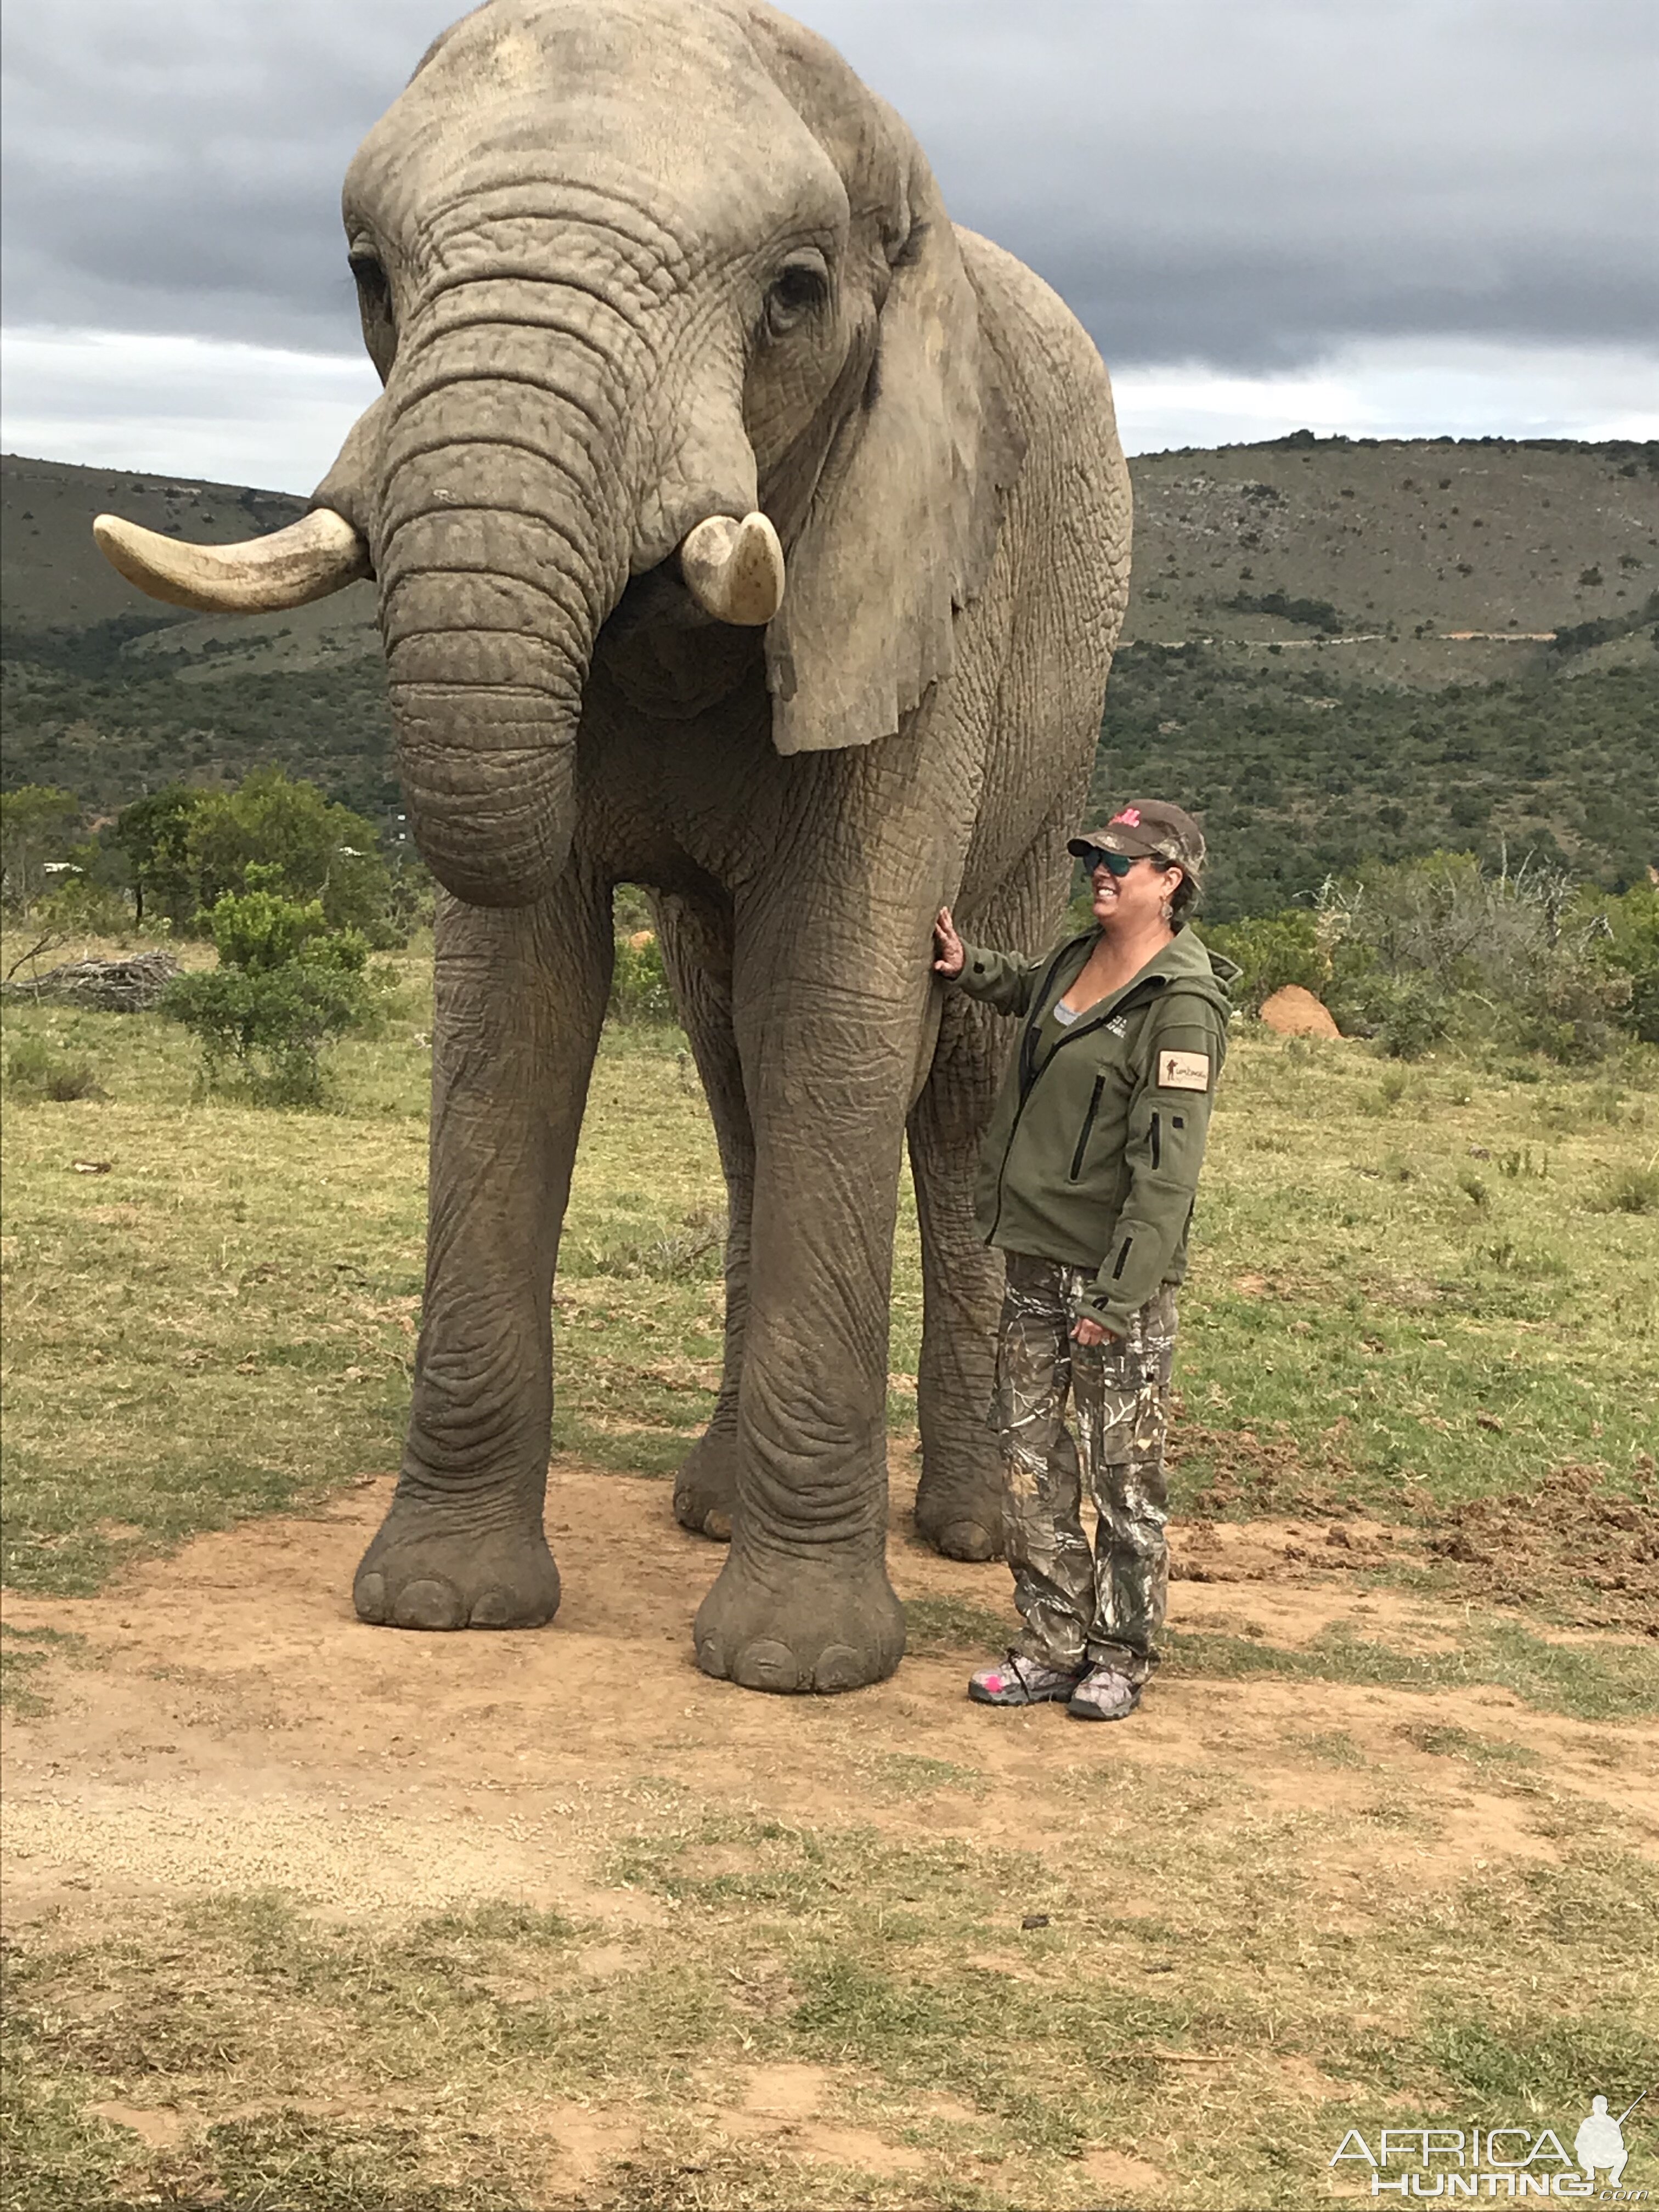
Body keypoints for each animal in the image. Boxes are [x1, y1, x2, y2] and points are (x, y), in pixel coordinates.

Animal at [97, 0, 1141, 1690]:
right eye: (366, 273)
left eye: (794, 295)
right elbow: (515, 1004)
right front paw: (442, 1605)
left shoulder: (914, 580)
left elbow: (837, 1004)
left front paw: (796, 1666)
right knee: (730, 1065)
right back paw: (709, 1505)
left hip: (1053, 708)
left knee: (960, 1078)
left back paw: (976, 1529)